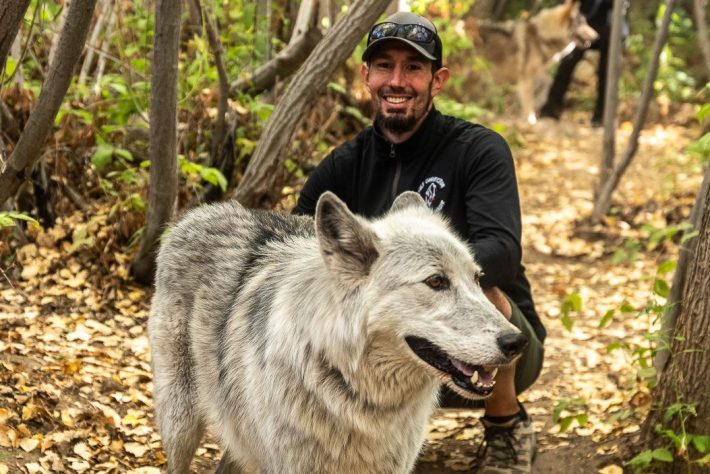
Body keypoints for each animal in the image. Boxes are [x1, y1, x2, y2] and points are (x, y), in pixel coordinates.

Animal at [464, 0, 598, 124]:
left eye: (586, 23)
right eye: (581, 24)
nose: (597, 36)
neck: (541, 36)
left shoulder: (531, 77)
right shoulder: (526, 76)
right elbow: (529, 100)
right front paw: (530, 119)